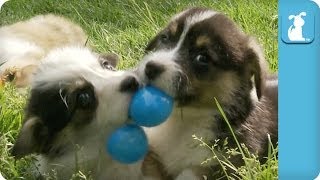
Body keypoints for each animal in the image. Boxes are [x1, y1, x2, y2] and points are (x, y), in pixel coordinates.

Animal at [135, 7, 278, 180]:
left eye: (202, 58)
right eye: (165, 38)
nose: (150, 68)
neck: (184, 119)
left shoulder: (226, 166)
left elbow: (190, 173)